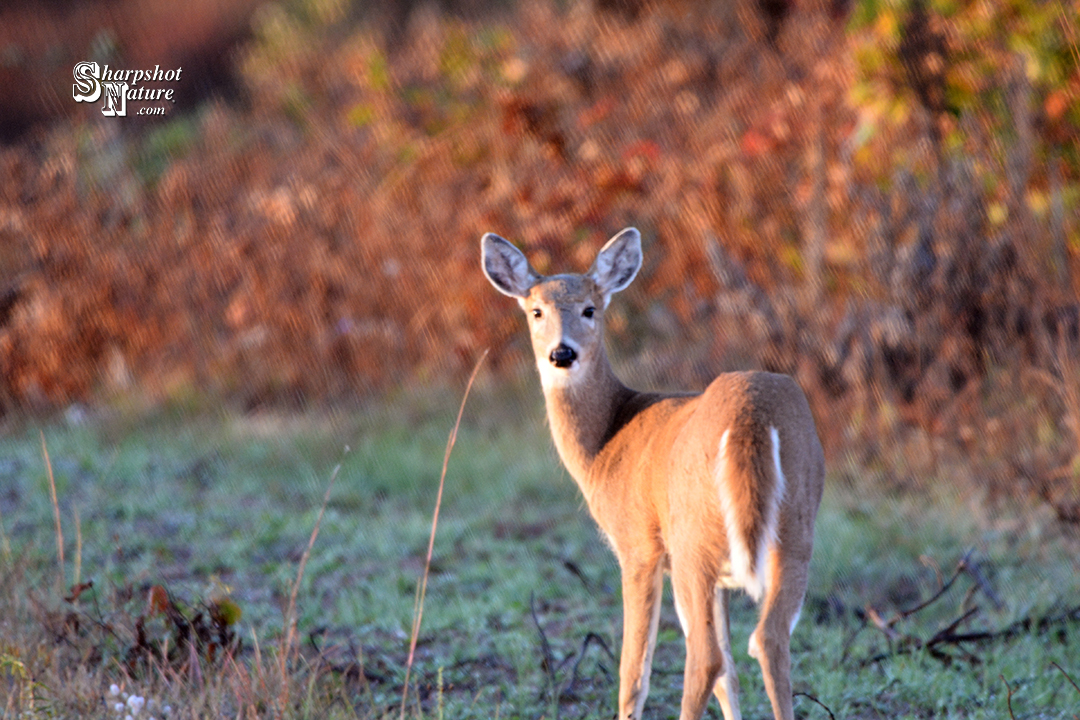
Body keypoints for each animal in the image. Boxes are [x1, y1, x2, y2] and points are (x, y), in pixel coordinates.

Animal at [481, 229, 825, 720]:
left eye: (590, 309)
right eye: (536, 311)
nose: (561, 353)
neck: (605, 443)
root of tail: (751, 415)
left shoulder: (638, 547)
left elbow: (633, 672)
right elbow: (729, 679)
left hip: (691, 539)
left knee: (705, 656)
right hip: (795, 525)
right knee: (767, 640)